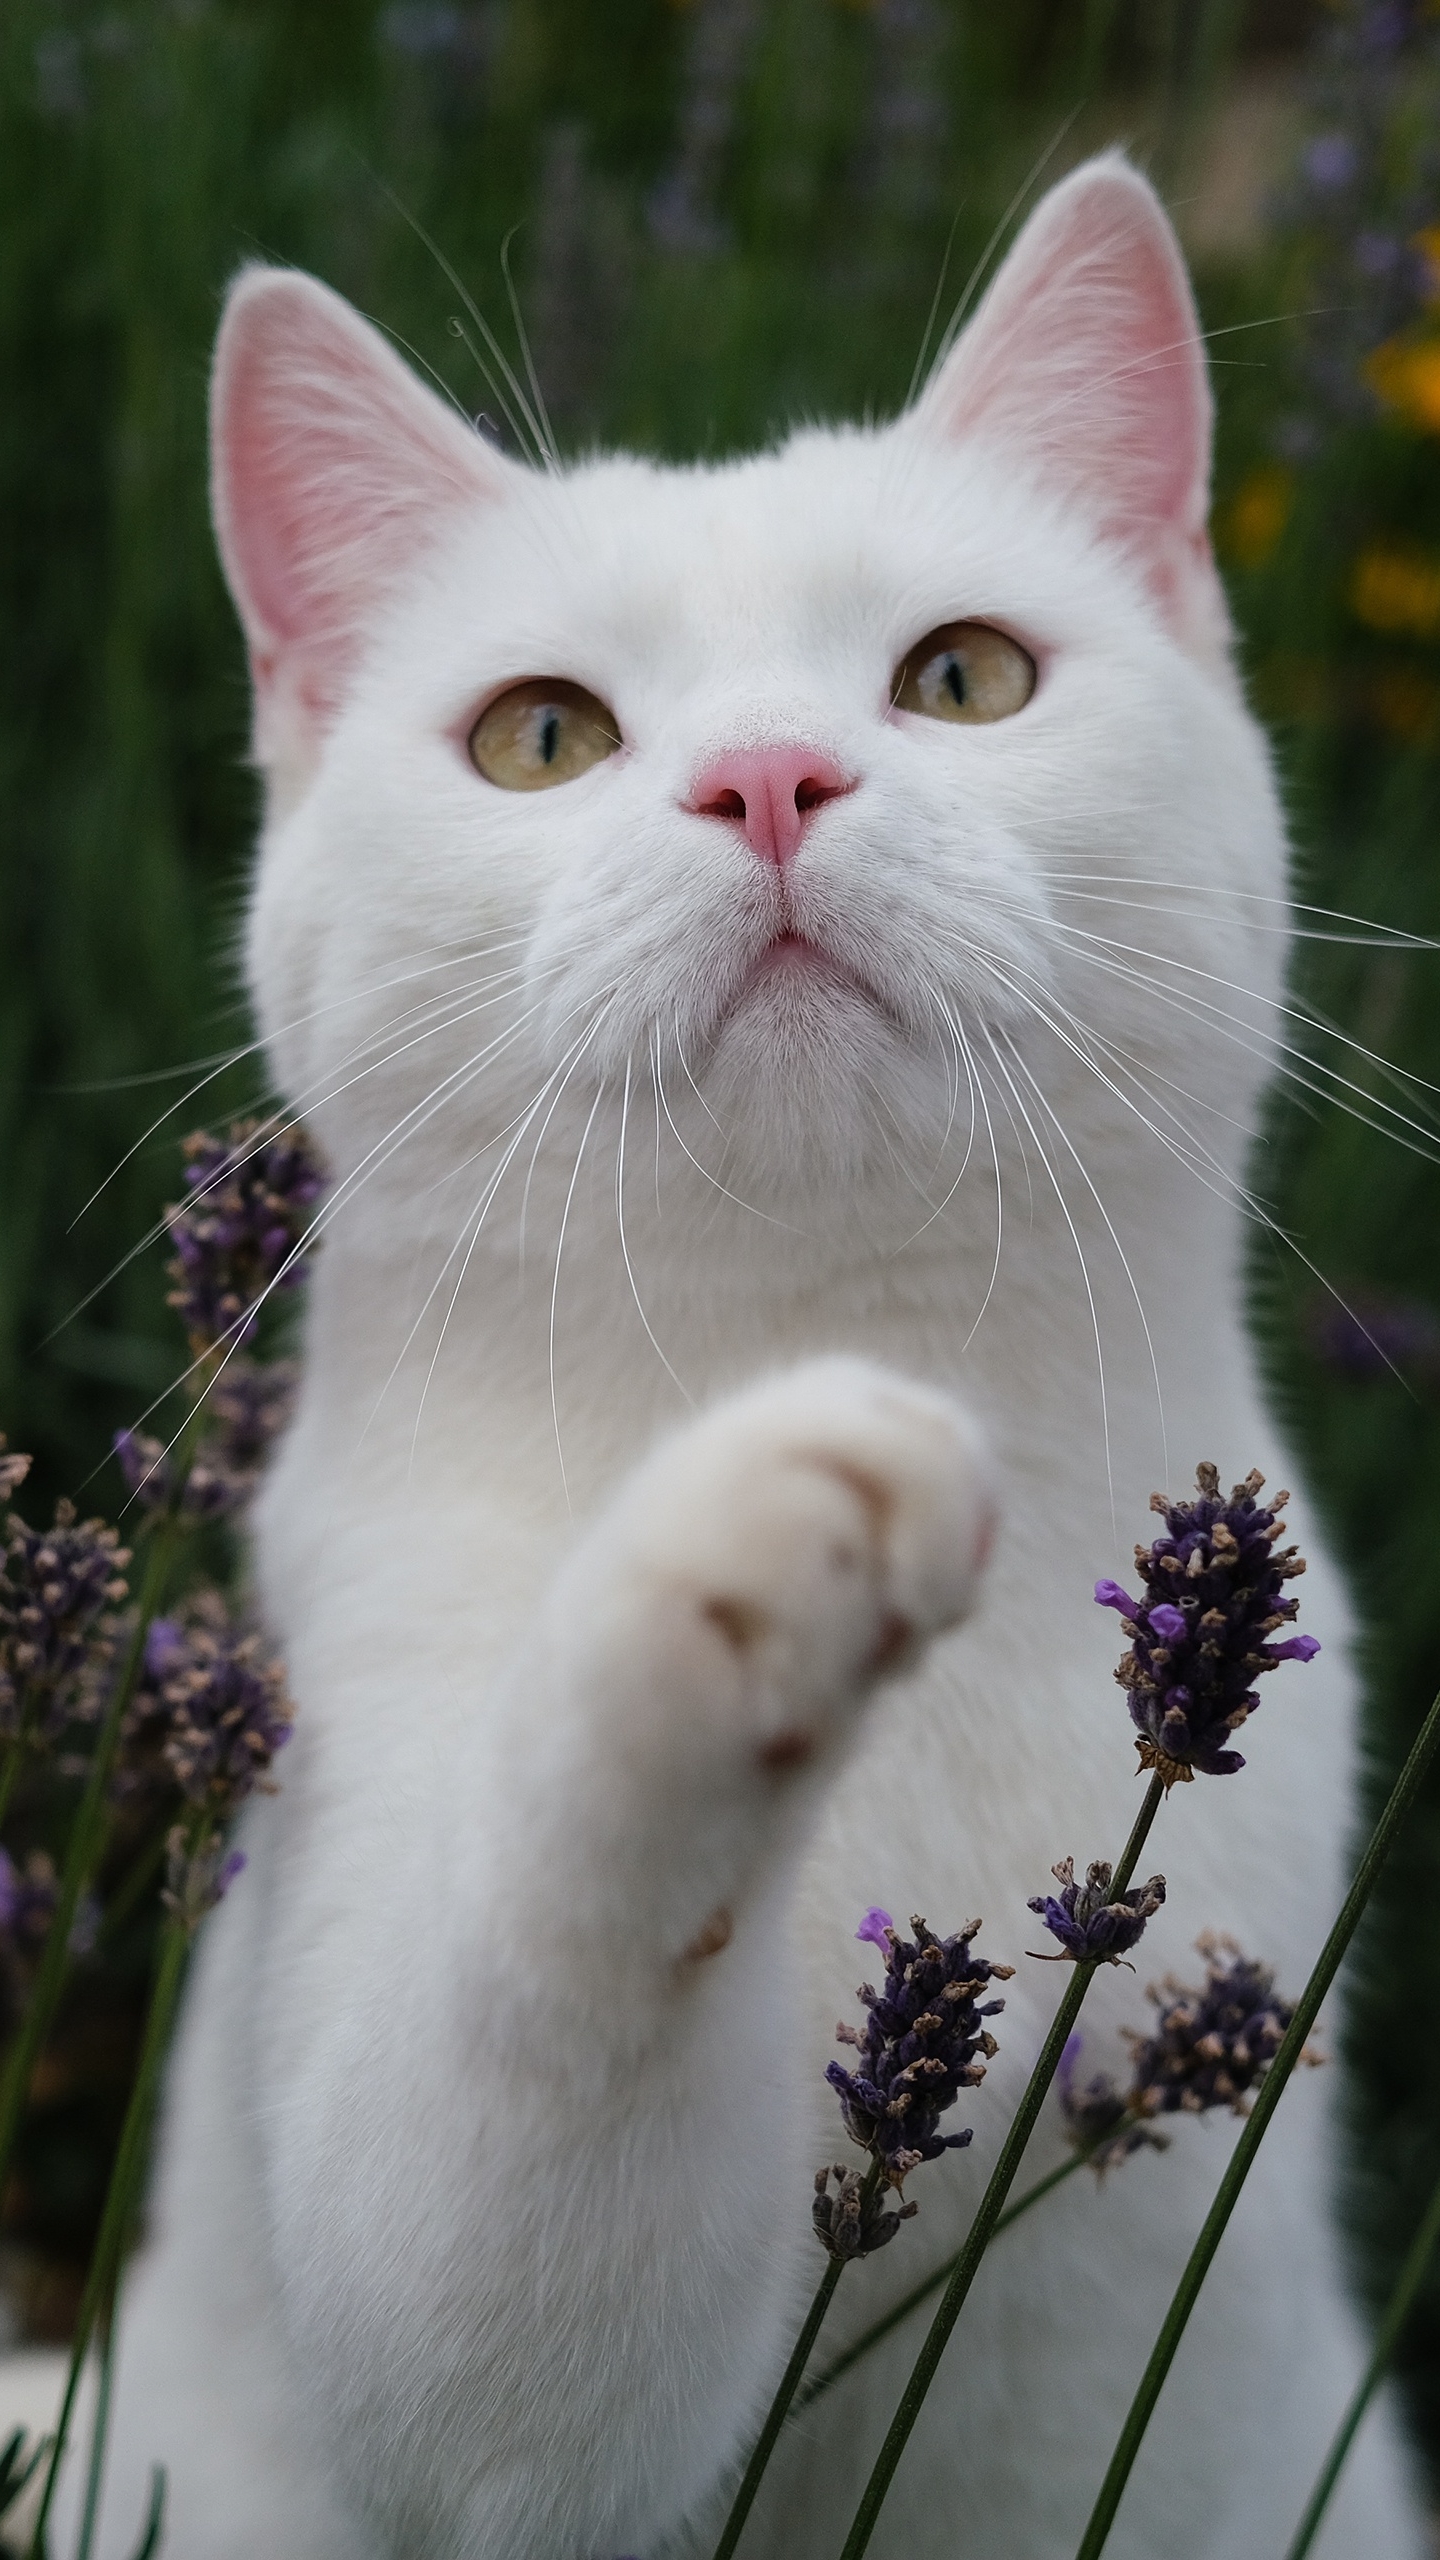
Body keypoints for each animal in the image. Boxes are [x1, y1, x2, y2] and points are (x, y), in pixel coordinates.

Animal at [64, 149, 1414, 2549]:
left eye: (964, 676)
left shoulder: (1133, 2395)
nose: (773, 779)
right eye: (543, 733)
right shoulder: (456, 2335)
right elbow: (507, 2199)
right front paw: (739, 1540)